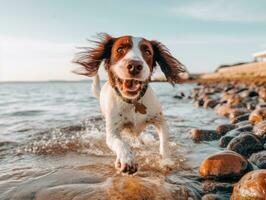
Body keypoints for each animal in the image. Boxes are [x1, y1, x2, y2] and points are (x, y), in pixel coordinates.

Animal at [73, 33, 187, 174]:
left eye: (147, 52)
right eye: (120, 49)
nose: (134, 65)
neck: (133, 102)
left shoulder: (160, 121)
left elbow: (164, 144)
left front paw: (166, 161)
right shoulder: (112, 132)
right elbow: (120, 143)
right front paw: (127, 159)